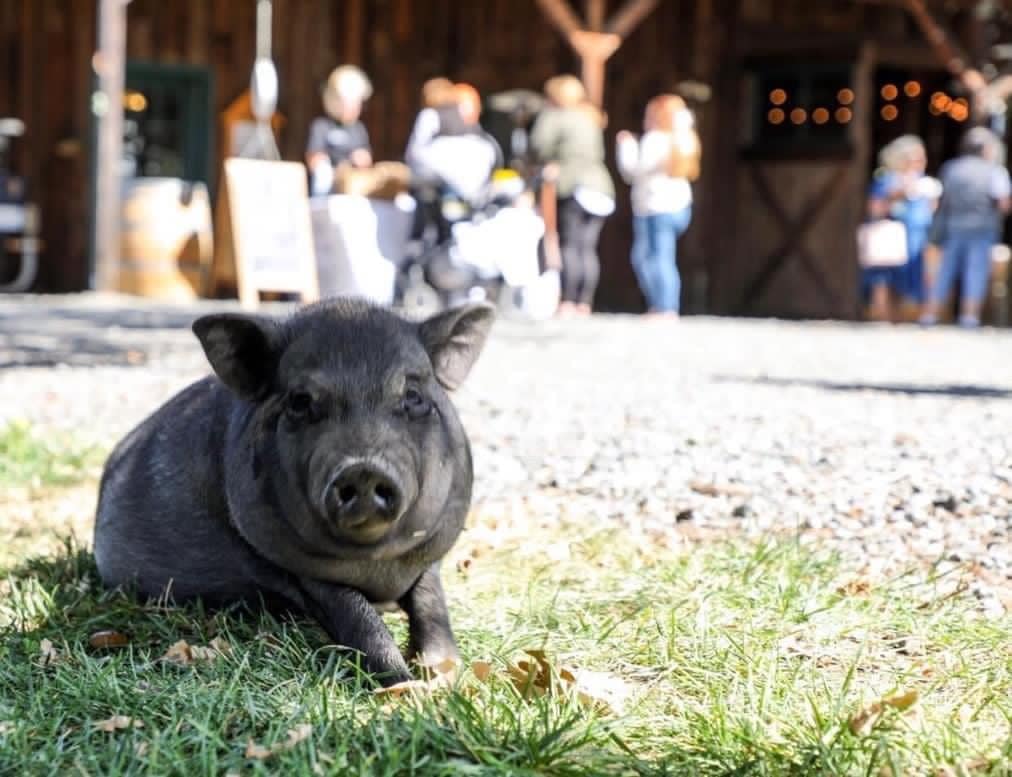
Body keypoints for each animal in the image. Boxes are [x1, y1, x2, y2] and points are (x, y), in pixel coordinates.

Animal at [93, 299, 494, 686]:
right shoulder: (295, 568)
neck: (379, 570)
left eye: (413, 396)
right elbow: (358, 619)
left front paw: (445, 675)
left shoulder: (429, 556)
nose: (363, 467)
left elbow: (431, 604)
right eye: (300, 401)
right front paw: (405, 685)